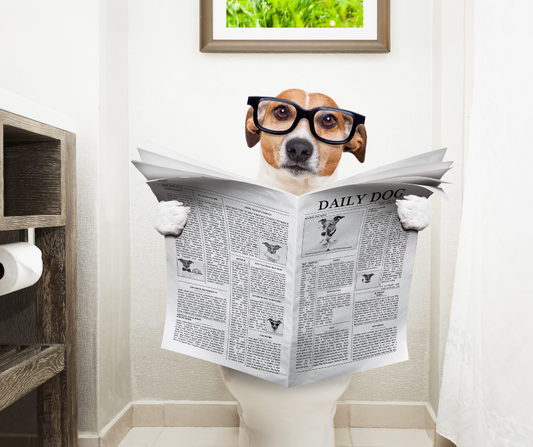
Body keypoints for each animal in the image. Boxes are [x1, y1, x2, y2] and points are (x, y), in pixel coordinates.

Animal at [151, 90, 432, 238]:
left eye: (328, 120)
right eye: (282, 111)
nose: (299, 148)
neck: (298, 191)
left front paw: (416, 210)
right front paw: (168, 214)